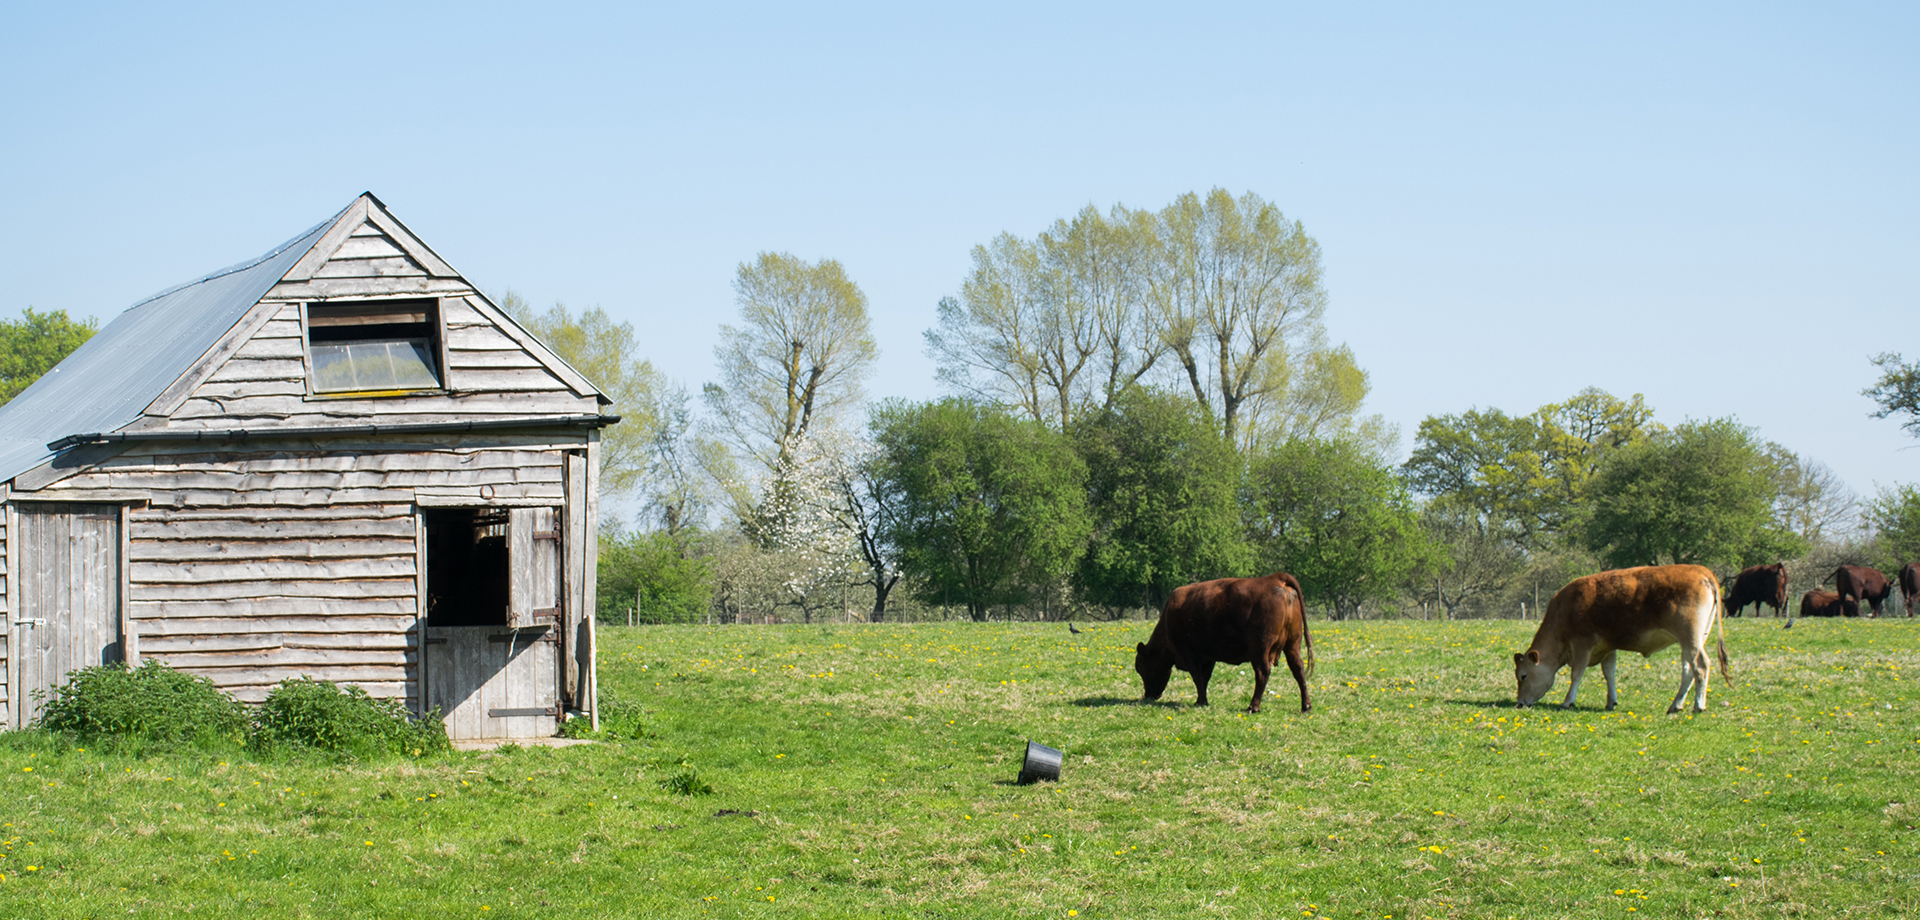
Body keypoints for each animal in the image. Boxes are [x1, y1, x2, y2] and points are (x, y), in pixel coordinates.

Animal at [1128, 572, 1313, 718]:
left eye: (1143, 668)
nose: (1149, 696)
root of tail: (1275, 578)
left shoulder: (1189, 654)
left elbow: (1197, 677)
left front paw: (1201, 701)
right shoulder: (1208, 656)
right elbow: (1205, 677)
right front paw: (1202, 700)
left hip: (1260, 649)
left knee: (1262, 673)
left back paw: (1253, 706)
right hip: (1293, 644)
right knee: (1298, 669)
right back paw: (1306, 706)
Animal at [1505, 564, 1735, 718]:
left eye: (1523, 676)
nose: (1519, 703)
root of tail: (1701, 571)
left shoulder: (1582, 644)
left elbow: (1577, 673)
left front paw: (1568, 701)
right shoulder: (1608, 647)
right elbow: (1610, 673)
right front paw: (1611, 702)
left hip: (1690, 638)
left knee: (1701, 666)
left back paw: (1699, 705)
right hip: (1692, 641)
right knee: (1688, 670)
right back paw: (1675, 705)